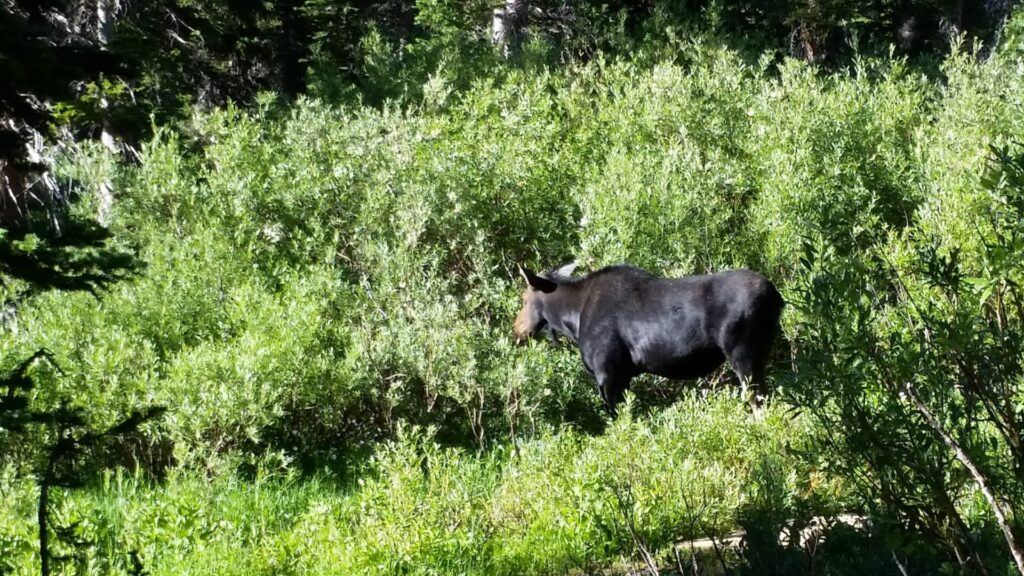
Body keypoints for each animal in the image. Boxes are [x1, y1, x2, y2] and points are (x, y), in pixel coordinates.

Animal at [512, 260, 782, 412]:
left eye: (524, 298)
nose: (517, 330)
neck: (573, 319)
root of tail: (777, 297)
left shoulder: (608, 375)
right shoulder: (623, 376)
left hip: (744, 358)